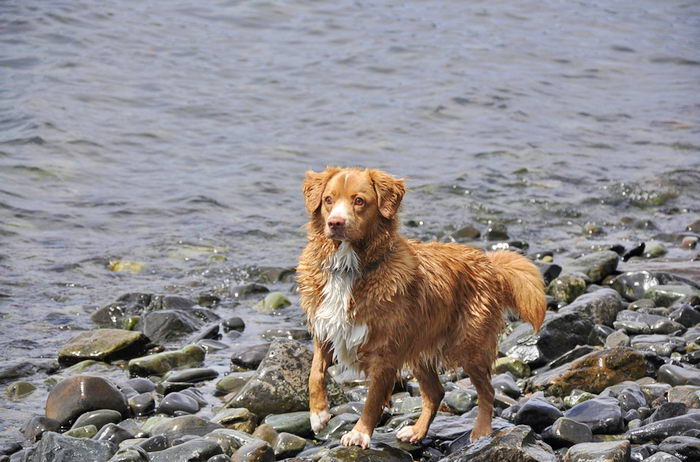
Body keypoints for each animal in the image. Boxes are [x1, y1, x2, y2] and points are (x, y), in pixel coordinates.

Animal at [296, 168, 548, 450]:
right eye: (328, 199)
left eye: (359, 201)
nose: (335, 223)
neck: (349, 267)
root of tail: (488, 263)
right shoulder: (326, 328)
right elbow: (315, 373)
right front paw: (318, 415)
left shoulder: (385, 351)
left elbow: (372, 399)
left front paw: (359, 433)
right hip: (418, 347)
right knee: (437, 392)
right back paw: (417, 431)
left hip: (469, 345)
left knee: (487, 390)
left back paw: (481, 431)